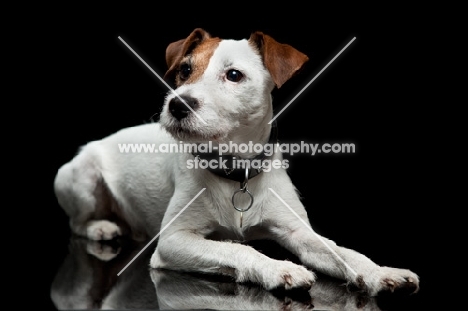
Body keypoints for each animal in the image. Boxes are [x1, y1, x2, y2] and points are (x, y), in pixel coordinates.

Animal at [54, 28, 420, 298]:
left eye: (234, 75)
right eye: (185, 69)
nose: (177, 105)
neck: (235, 172)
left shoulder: (299, 231)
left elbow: (341, 252)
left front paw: (380, 272)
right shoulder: (173, 241)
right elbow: (238, 249)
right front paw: (278, 268)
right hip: (77, 177)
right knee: (77, 223)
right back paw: (101, 227)